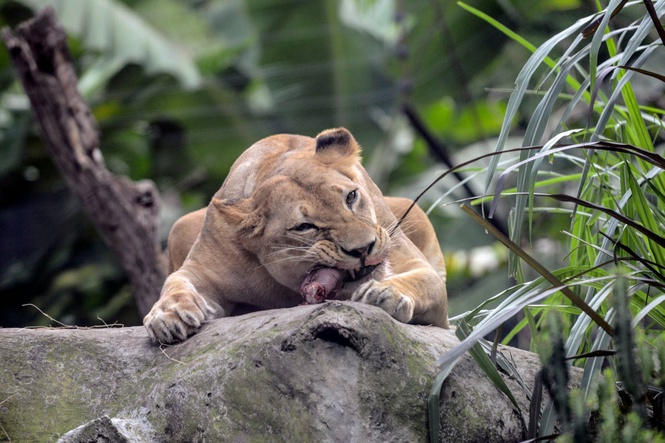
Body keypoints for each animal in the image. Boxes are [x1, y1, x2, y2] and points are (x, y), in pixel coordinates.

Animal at [144, 128, 449, 344]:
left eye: (351, 197)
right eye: (304, 227)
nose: (363, 248)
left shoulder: (418, 272)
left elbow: (423, 281)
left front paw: (385, 294)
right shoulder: (202, 269)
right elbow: (176, 283)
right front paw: (168, 315)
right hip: (180, 226)